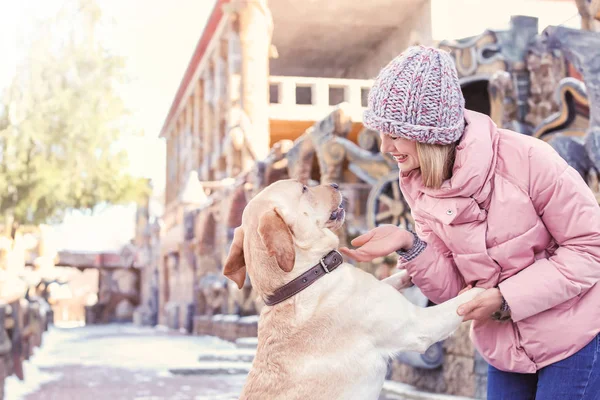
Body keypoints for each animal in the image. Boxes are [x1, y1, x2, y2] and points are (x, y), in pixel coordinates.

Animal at [224, 180, 482, 398]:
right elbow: (458, 304)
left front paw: (409, 274)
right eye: (304, 189)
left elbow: (391, 280)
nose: (336, 184)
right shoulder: (418, 325)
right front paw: (486, 290)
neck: (304, 279)